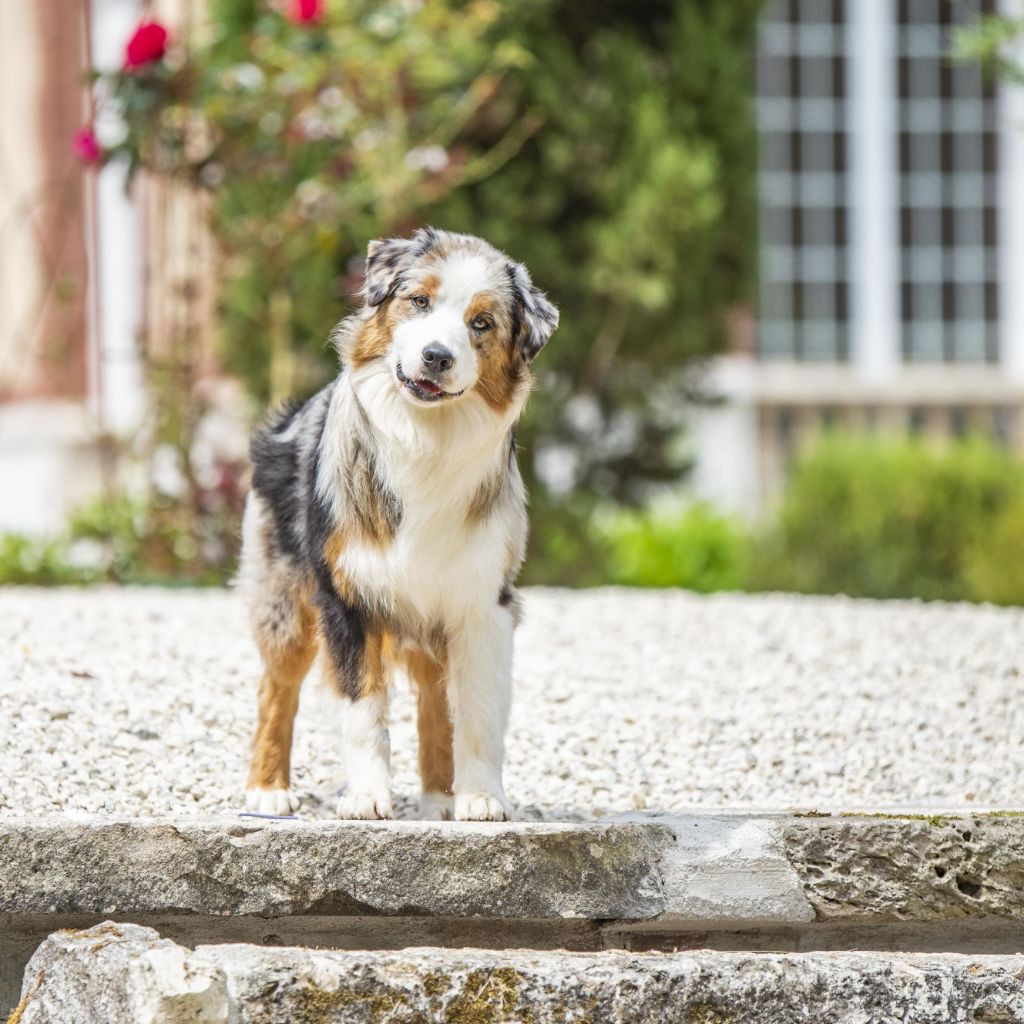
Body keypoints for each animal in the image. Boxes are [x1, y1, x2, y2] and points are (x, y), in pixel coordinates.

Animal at [237, 228, 561, 819]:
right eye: (419, 301)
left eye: (482, 323)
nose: (436, 356)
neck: (426, 439)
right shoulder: (346, 598)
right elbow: (363, 711)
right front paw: (367, 797)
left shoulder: (483, 603)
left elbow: (475, 712)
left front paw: (480, 798)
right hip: (284, 596)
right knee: (277, 687)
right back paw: (267, 790)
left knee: (435, 697)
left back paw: (438, 800)